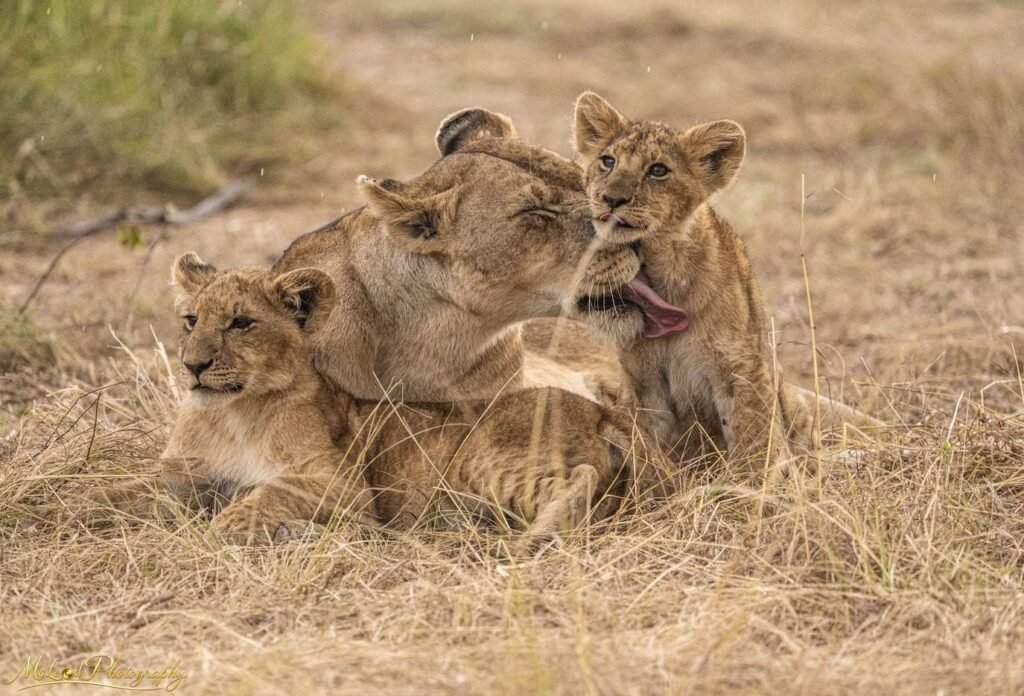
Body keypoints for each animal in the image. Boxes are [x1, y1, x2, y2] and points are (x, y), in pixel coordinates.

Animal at [567, 92, 881, 476]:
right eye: (607, 161)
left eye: (658, 170)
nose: (611, 199)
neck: (660, 269)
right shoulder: (643, 384)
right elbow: (646, 444)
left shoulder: (741, 369)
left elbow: (754, 438)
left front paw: (751, 486)